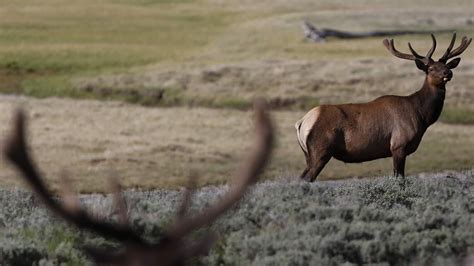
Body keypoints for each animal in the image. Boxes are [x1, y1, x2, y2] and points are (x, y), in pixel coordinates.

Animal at [296, 33, 470, 182]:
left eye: (447, 65)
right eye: (431, 68)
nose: (448, 73)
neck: (421, 116)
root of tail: (302, 122)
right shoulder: (398, 145)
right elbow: (399, 178)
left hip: (308, 154)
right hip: (320, 150)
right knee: (307, 178)